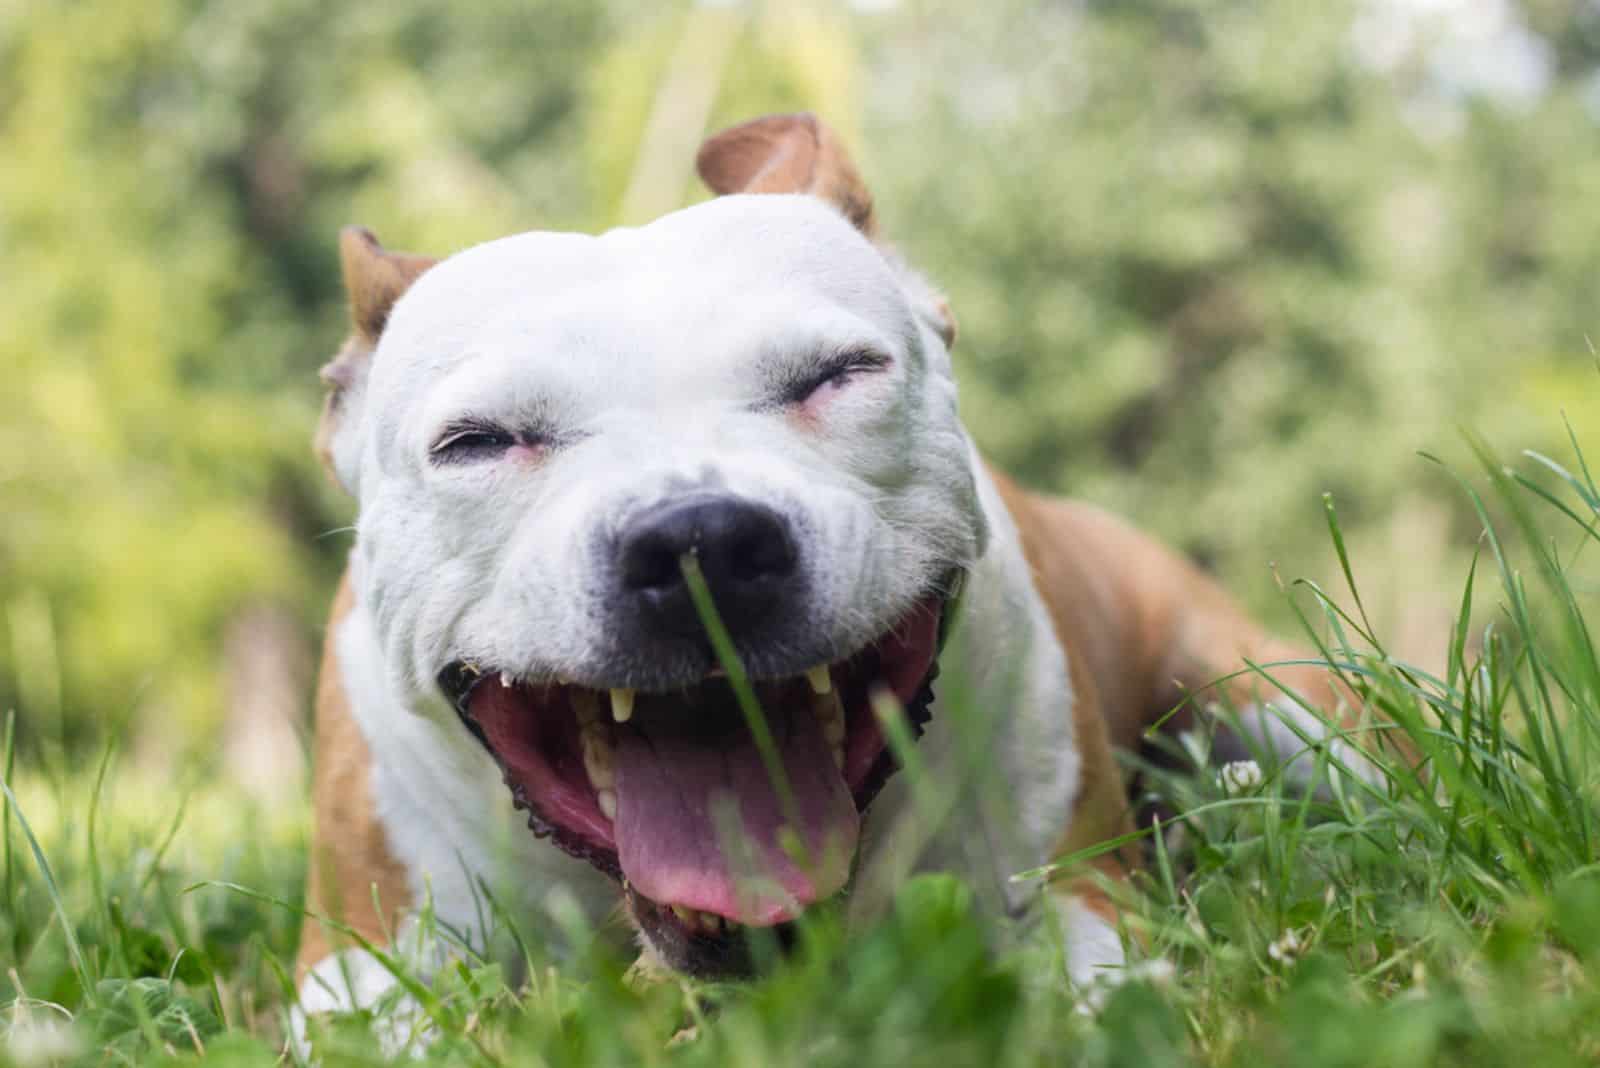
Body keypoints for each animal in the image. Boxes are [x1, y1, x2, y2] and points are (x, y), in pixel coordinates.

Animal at [291, 110, 1376, 1036]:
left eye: (841, 374)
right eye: (477, 442)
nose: (699, 542)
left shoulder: (1074, 896)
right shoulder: (356, 968)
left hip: (1282, 706)